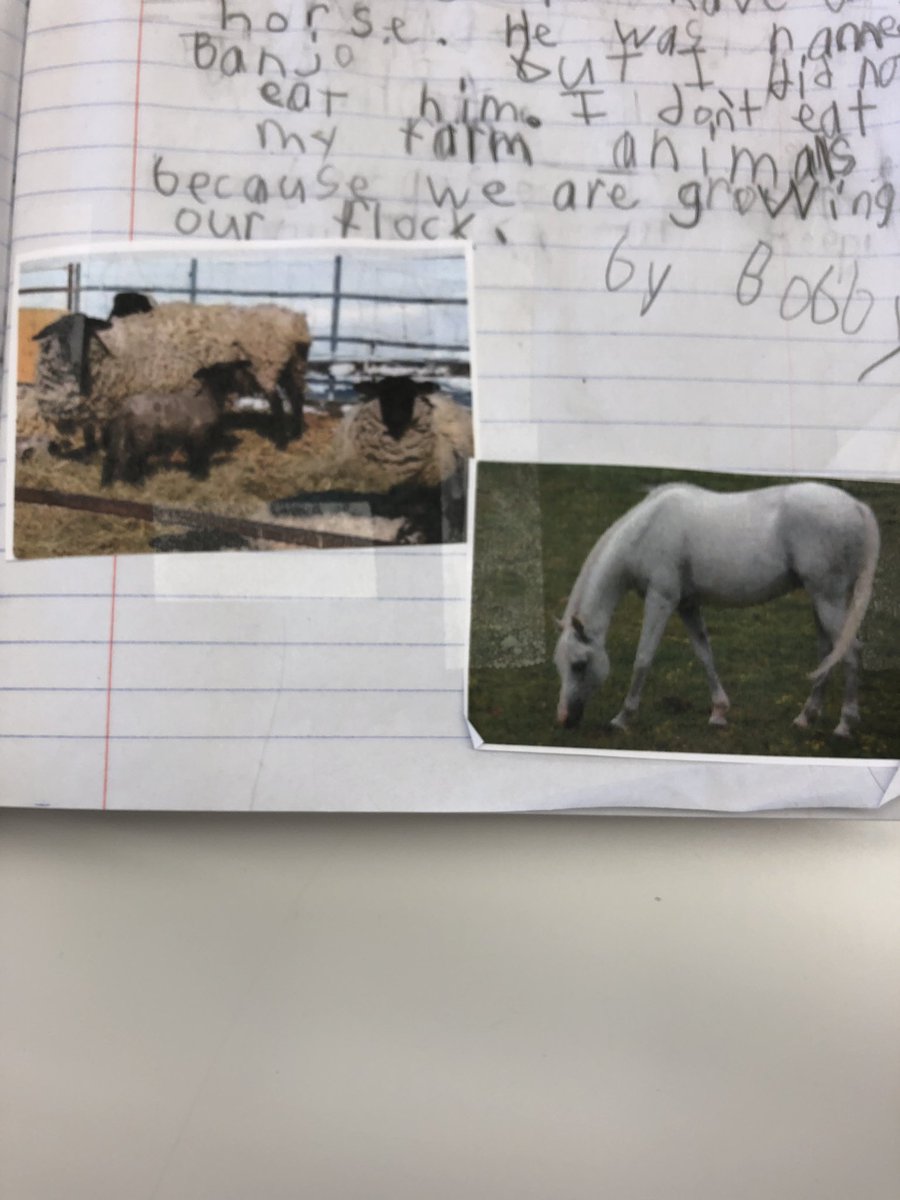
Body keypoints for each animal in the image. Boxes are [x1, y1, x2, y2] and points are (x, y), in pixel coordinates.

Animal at [33, 300, 311, 453]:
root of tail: (294, 322)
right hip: (292, 367)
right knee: (296, 397)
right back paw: (296, 433)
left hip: (267, 364)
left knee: (276, 402)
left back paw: (282, 441)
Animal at [100, 359, 257, 486]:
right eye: (222, 371)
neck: (208, 398)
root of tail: (125, 408)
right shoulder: (199, 435)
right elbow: (199, 456)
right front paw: (200, 477)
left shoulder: (189, 437)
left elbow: (193, 457)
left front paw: (193, 474)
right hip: (143, 436)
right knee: (135, 458)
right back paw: (138, 483)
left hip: (121, 434)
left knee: (113, 457)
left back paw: (108, 484)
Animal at [553, 481, 880, 738]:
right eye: (559, 666)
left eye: (580, 665)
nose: (564, 720)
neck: (646, 530)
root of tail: (856, 506)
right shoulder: (687, 605)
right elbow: (704, 654)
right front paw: (719, 712)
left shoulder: (661, 600)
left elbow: (644, 657)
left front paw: (622, 718)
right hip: (822, 599)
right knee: (828, 653)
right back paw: (805, 718)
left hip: (828, 598)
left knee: (850, 652)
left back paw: (844, 725)